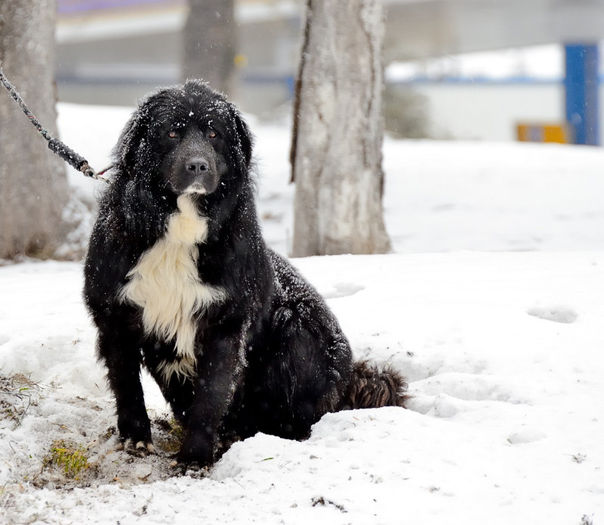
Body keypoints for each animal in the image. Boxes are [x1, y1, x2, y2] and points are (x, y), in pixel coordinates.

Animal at [84, 80, 406, 464]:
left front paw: (194, 456)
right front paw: (136, 438)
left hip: (295, 328)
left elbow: (210, 395)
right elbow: (127, 384)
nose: (198, 166)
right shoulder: (114, 315)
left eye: (213, 133)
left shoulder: (226, 322)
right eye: (173, 132)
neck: (179, 230)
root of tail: (348, 378)